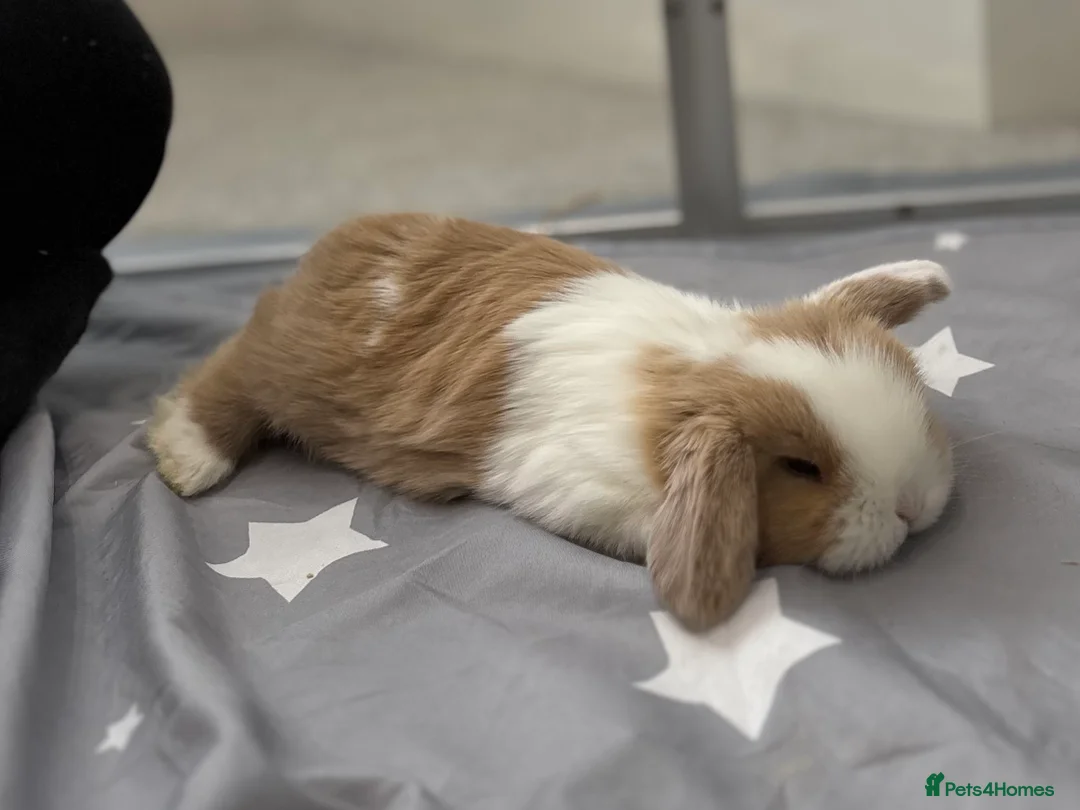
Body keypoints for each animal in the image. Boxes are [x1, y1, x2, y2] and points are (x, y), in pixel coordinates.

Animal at [147, 213, 955, 631]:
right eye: (801, 468)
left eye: (912, 384)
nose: (913, 507)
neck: (688, 371)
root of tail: (324, 253)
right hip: (283, 369)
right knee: (226, 374)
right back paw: (188, 459)